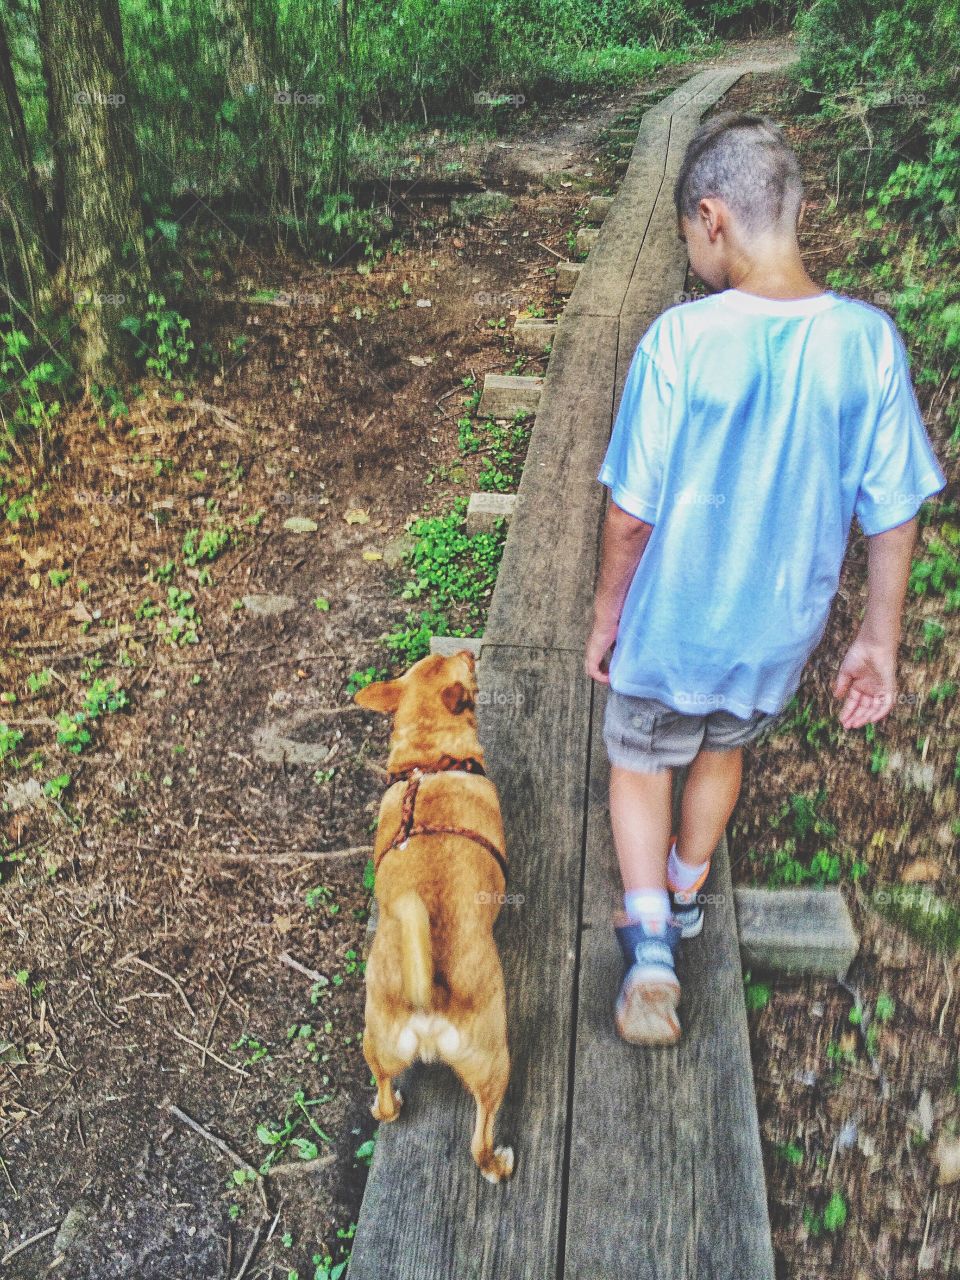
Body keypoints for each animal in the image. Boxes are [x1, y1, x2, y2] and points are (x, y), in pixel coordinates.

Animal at [353, 655, 514, 1182]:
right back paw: (497, 1163)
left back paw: (389, 1102)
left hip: (377, 1043)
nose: (470, 652)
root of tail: (425, 1000)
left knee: (385, 1101)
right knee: (480, 1139)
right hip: (494, 1060)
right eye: (465, 666)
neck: (430, 764)